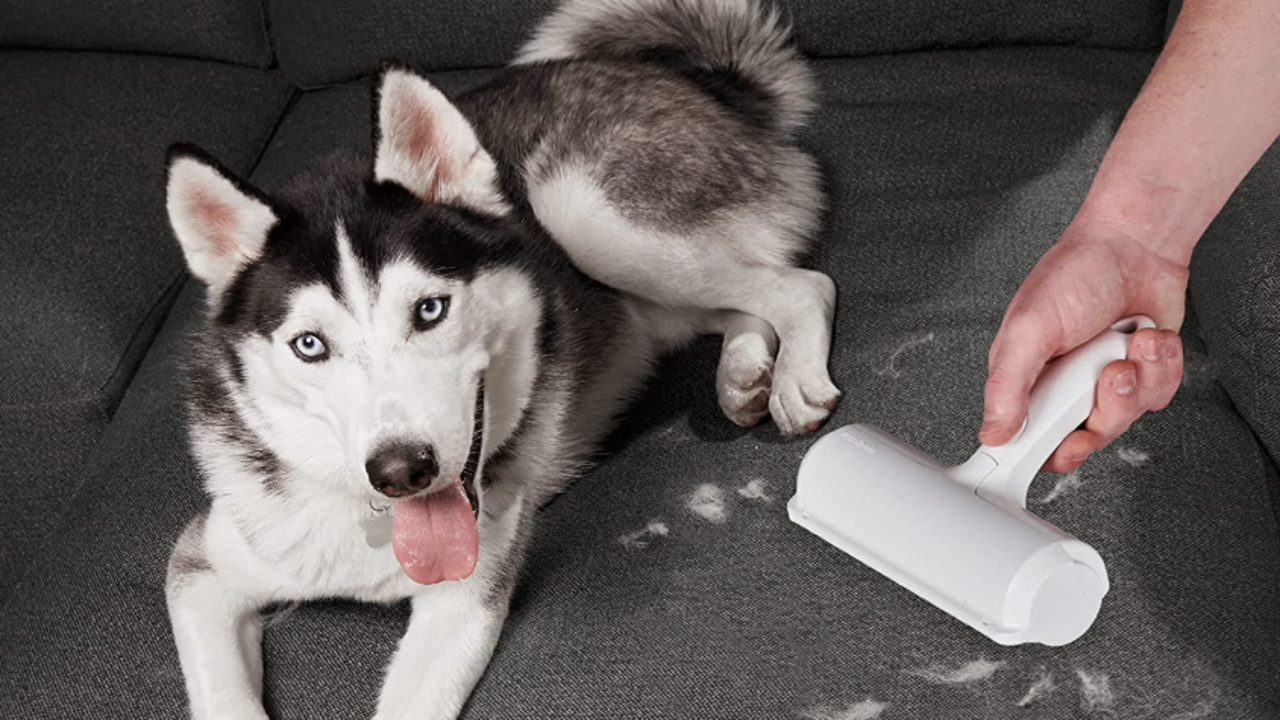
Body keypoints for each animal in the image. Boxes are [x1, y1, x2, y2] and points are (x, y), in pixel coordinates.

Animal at [162, 1, 839, 717]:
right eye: (309, 345)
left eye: (430, 309)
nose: (401, 470)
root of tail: (701, 84)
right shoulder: (202, 570)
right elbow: (222, 696)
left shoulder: (465, 599)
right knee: (741, 302)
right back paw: (743, 374)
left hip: (585, 213)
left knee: (800, 285)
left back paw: (793, 380)